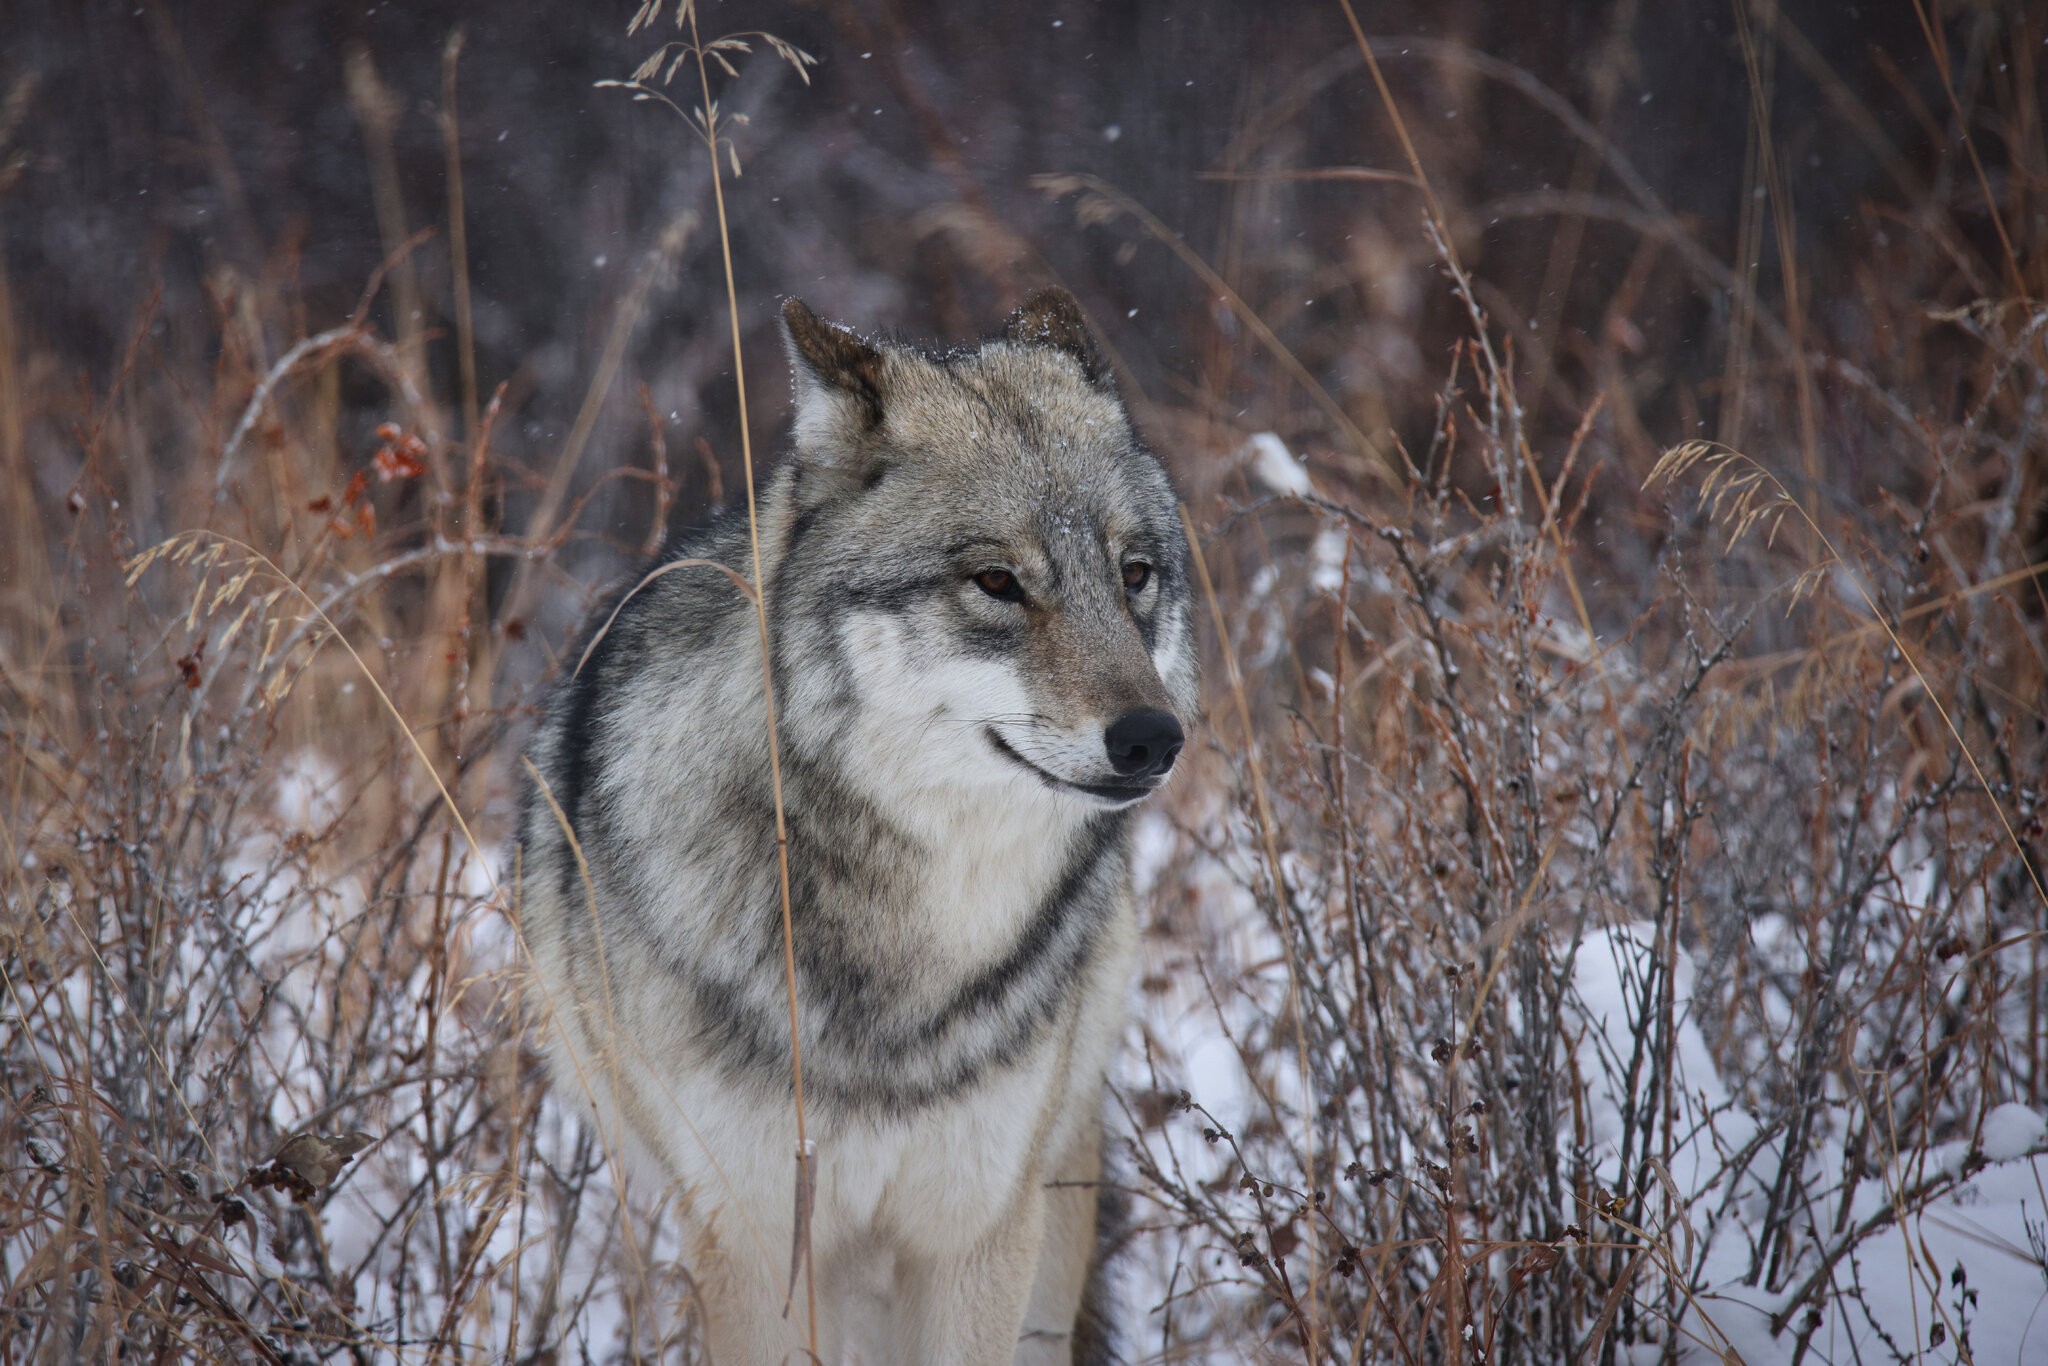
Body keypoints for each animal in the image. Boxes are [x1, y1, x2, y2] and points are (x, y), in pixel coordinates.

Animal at [512, 288, 1204, 1366]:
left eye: (1133, 574)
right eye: (996, 582)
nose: (1152, 738)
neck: (906, 946)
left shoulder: (977, 1240)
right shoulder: (758, 1242)